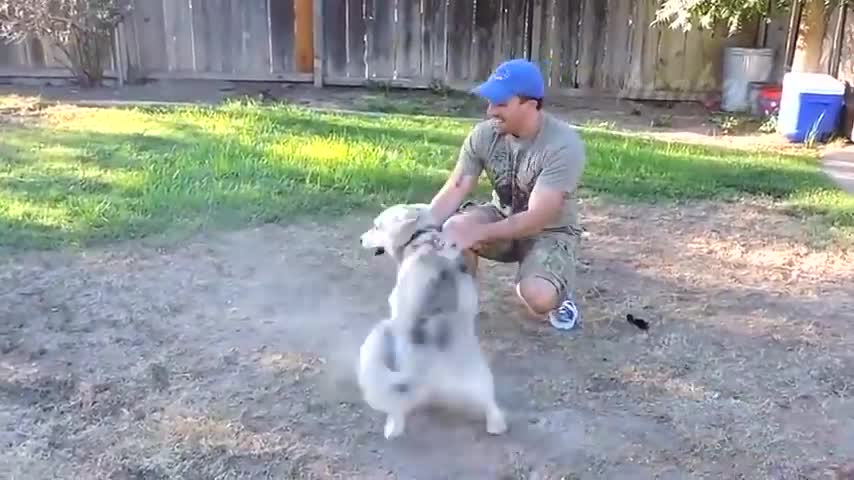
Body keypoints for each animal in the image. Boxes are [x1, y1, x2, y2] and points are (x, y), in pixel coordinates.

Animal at [356, 202, 508, 438]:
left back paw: (393, 426)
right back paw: (495, 424)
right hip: (478, 373)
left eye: (376, 226)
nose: (360, 239)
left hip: (383, 342)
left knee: (397, 405)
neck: (421, 238)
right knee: (489, 401)